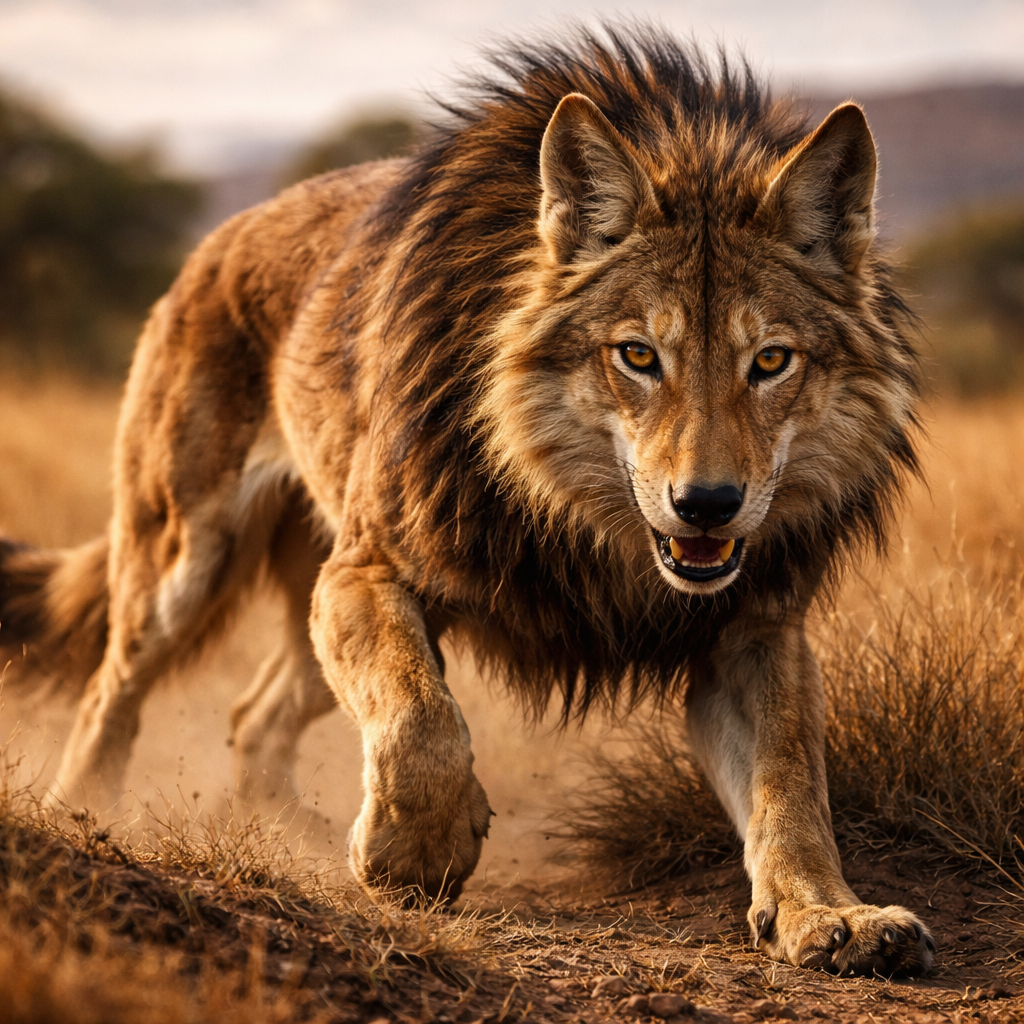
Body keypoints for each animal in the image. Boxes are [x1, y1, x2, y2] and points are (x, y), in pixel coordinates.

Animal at [0, 27, 934, 975]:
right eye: (637, 356)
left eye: (771, 362)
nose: (706, 503)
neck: (584, 525)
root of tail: (216, 239)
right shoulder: (368, 570)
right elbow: (421, 722)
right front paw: (412, 855)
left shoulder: (753, 630)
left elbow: (792, 784)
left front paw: (831, 914)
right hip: (184, 556)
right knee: (109, 694)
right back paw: (86, 819)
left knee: (252, 716)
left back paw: (294, 833)